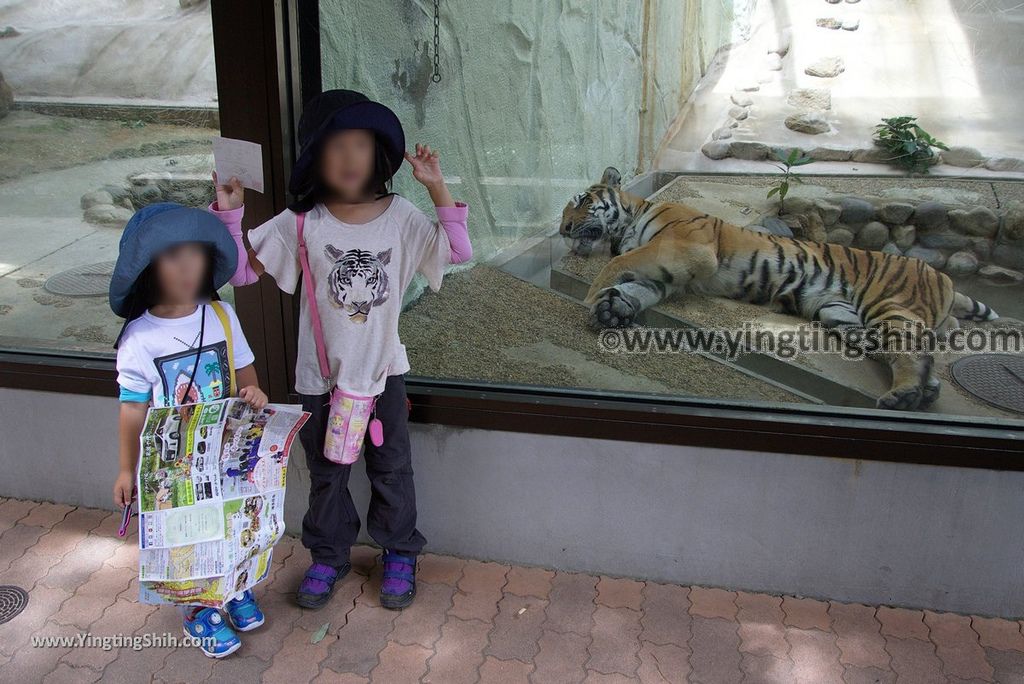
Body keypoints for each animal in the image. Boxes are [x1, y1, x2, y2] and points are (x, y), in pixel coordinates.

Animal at [561, 165, 999, 411]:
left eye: (580, 201)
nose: (563, 229)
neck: (629, 221)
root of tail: (942, 276)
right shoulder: (668, 272)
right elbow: (637, 289)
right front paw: (612, 308)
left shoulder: (688, 250)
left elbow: (618, 264)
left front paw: (592, 296)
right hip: (842, 315)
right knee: (912, 352)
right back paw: (925, 391)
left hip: (891, 306)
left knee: (910, 352)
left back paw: (906, 395)